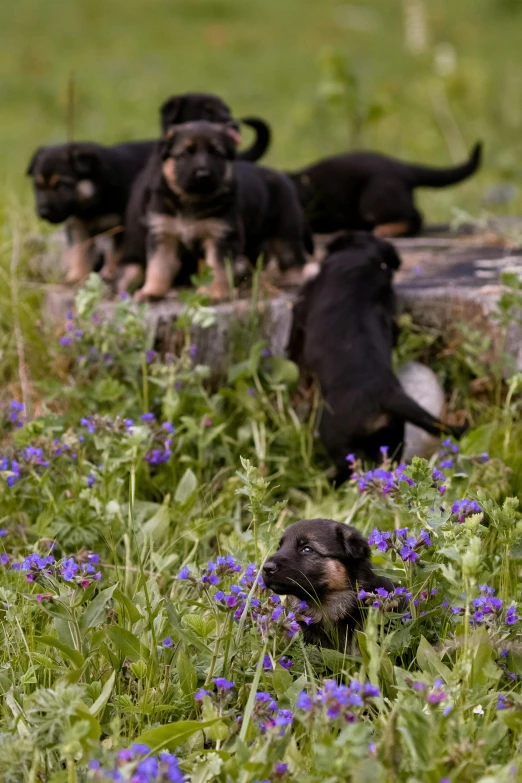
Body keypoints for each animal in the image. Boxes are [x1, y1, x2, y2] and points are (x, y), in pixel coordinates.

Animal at [132, 121, 308, 302]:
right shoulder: (163, 233)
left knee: (293, 259)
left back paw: (289, 281)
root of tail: (282, 176)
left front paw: (213, 292)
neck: (192, 201)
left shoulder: (221, 236)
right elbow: (158, 265)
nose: (203, 174)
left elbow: (216, 266)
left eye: (216, 153)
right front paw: (151, 291)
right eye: (186, 153)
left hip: (285, 234)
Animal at [288, 230, 464, 484]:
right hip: (392, 438)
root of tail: (385, 395)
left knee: (349, 465)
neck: (367, 257)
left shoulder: (303, 303)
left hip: (333, 435)